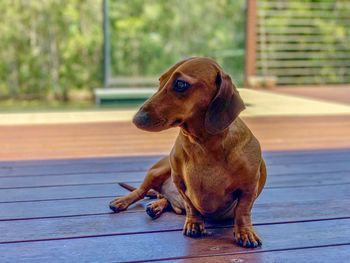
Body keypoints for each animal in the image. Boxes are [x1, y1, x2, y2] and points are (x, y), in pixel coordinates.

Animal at [110, 57, 266, 250]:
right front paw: (194, 223)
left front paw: (245, 232)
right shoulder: (179, 181)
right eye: (160, 81)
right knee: (140, 191)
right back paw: (124, 202)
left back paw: (156, 206)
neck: (203, 145)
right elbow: (191, 205)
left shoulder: (248, 187)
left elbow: (243, 211)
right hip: (157, 171)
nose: (136, 119)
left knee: (166, 200)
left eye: (180, 84)